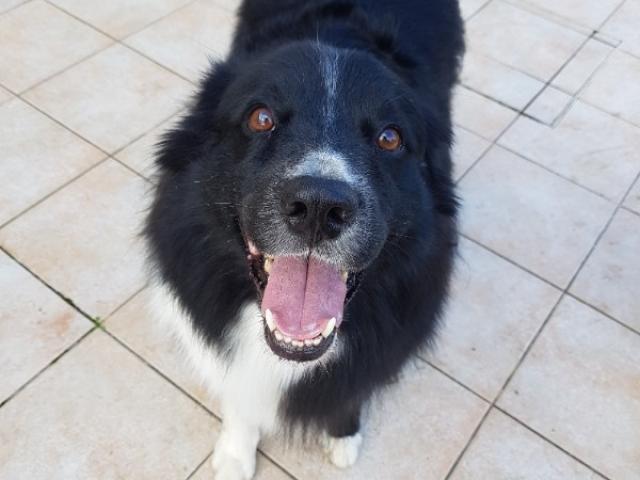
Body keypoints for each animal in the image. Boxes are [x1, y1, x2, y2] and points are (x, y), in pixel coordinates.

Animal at [146, 1, 464, 478]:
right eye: (261, 118)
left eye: (390, 138)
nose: (319, 207)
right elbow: (240, 389)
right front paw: (236, 453)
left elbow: (352, 388)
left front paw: (344, 435)